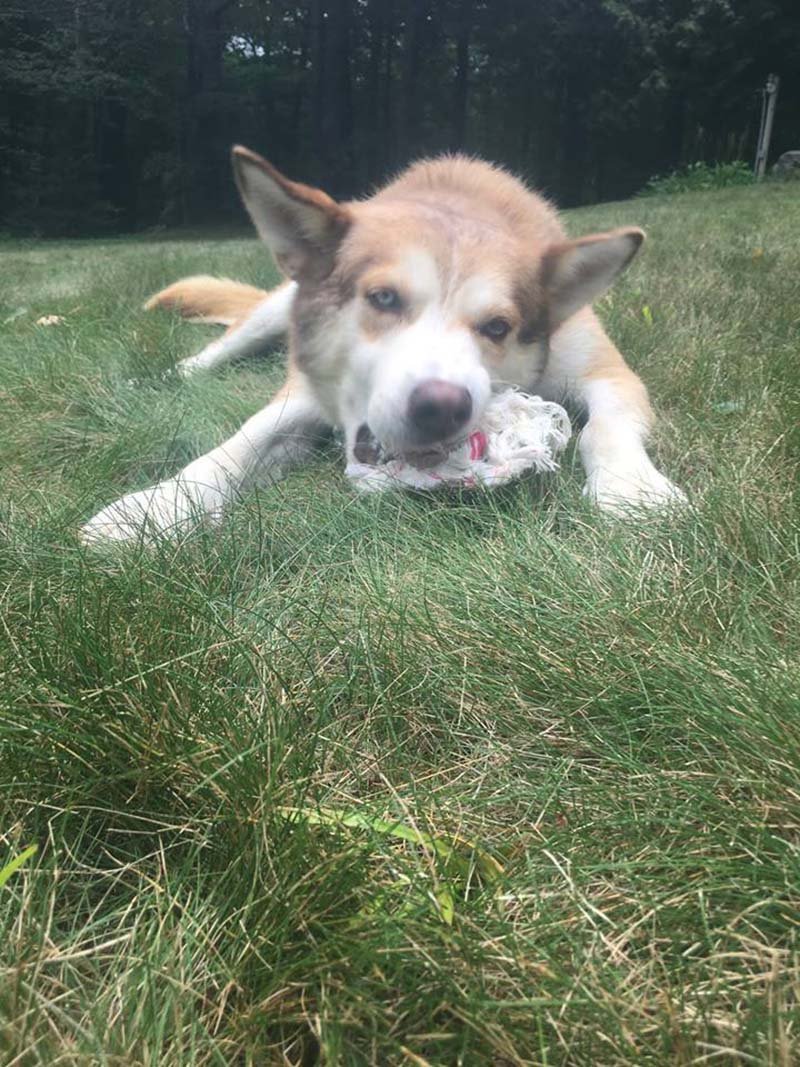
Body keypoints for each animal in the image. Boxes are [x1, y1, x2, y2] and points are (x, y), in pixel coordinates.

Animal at [80, 147, 682, 546]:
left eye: (497, 327)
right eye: (384, 298)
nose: (442, 407)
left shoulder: (609, 373)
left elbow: (604, 428)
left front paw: (632, 490)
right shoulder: (305, 390)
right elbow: (240, 443)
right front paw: (154, 509)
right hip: (274, 310)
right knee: (213, 354)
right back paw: (160, 378)